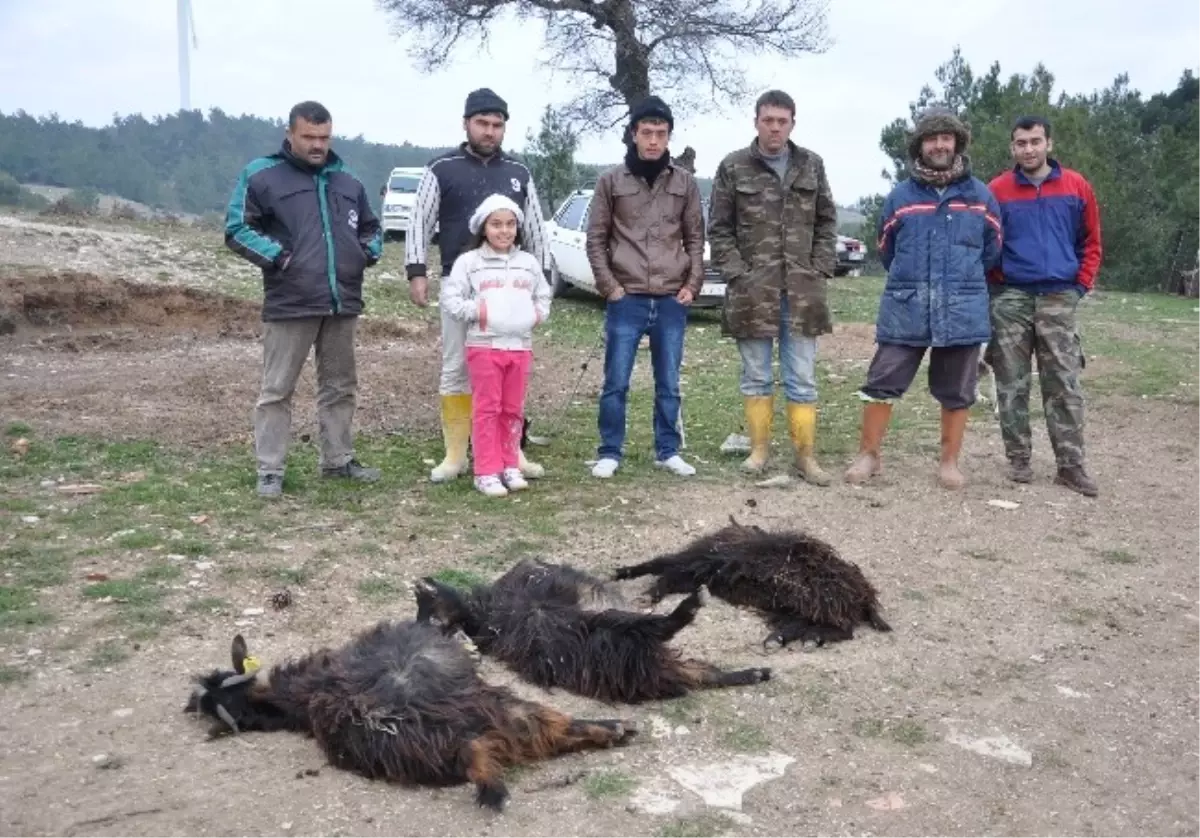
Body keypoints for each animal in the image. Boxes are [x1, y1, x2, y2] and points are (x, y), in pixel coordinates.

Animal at [181, 614, 633, 806]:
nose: (192, 703)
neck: (295, 701)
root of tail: (464, 733)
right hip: (506, 712)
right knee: (559, 726)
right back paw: (617, 729)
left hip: (495, 713)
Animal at [412, 557, 768, 701]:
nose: (420, 583)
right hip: (606, 634)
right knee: (659, 628)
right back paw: (691, 606)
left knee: (702, 671)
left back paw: (754, 672)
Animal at [619, 516, 892, 648]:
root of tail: (865, 597)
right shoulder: (699, 572)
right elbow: (664, 571)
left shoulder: (698, 569)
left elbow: (664, 571)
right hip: (795, 609)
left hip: (814, 606)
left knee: (840, 630)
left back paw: (794, 640)